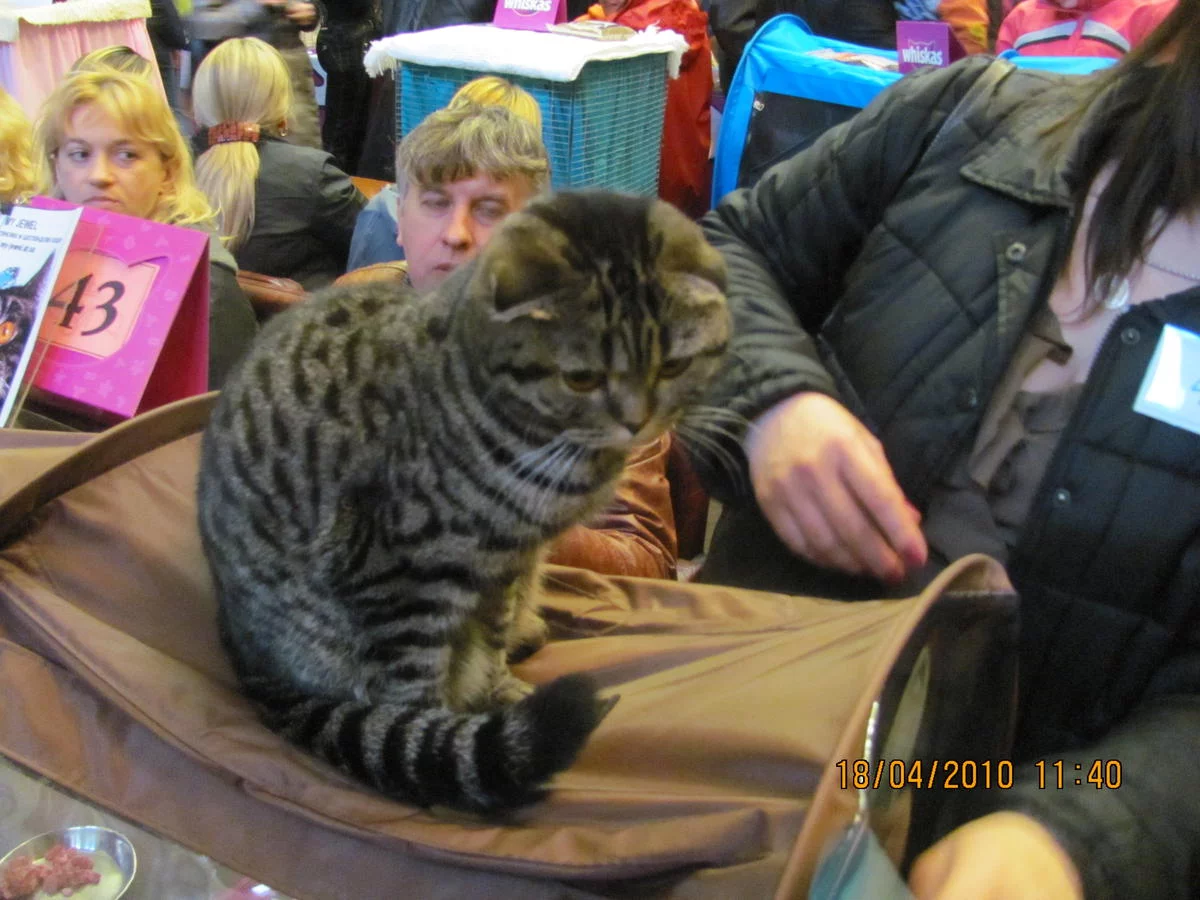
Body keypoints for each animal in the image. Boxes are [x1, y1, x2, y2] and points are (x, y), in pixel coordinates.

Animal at [196, 191, 730, 813]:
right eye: (581, 378)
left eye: (673, 366)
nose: (636, 421)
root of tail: (240, 648)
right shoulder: (398, 577)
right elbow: (410, 694)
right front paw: (438, 751)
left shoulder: (506, 564)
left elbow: (491, 639)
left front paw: (494, 690)